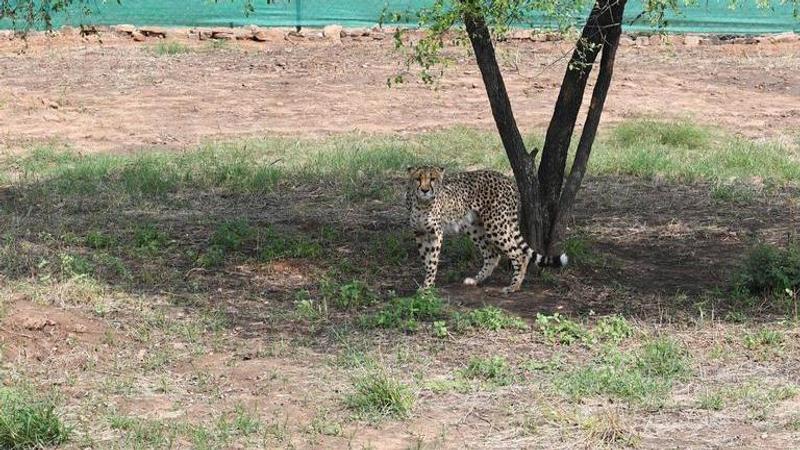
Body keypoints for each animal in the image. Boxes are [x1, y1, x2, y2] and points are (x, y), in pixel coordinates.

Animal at [406, 167, 568, 294]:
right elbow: (426, 260)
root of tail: (506, 178)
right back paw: (476, 280)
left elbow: (432, 260)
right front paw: (427, 283)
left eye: (432, 179)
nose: (425, 190)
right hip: (474, 226)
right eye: (418, 178)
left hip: (496, 225)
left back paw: (514, 286)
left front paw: (428, 286)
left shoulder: (435, 233)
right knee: (492, 254)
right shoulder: (419, 233)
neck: (421, 203)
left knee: (519, 254)